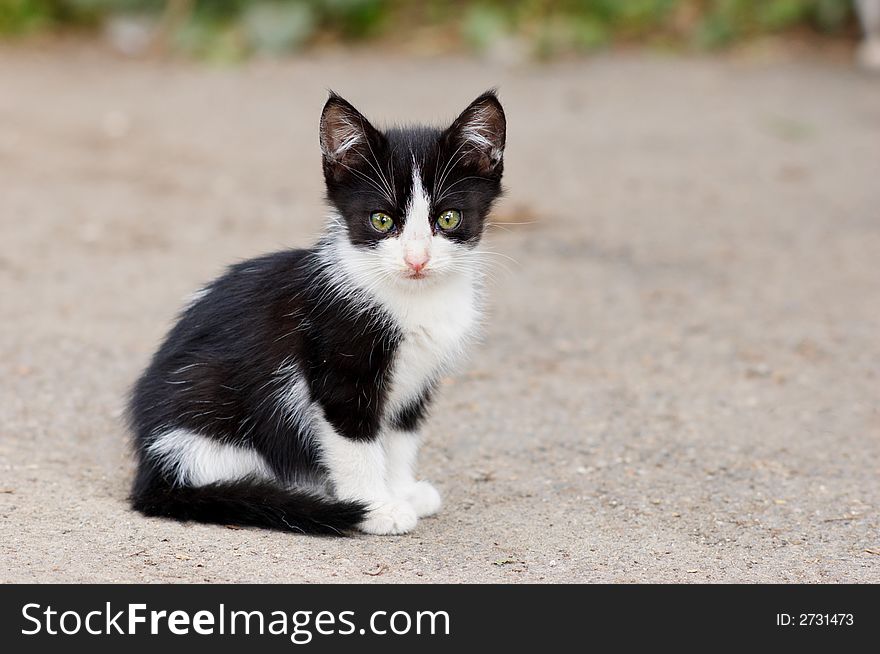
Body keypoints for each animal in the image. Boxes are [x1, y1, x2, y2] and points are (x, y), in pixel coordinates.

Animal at [127, 89, 506, 536]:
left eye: (448, 218)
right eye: (381, 220)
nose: (417, 260)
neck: (413, 299)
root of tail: (151, 471)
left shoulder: (419, 378)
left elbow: (400, 435)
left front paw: (402, 490)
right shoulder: (337, 362)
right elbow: (354, 440)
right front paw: (376, 506)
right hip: (208, 398)